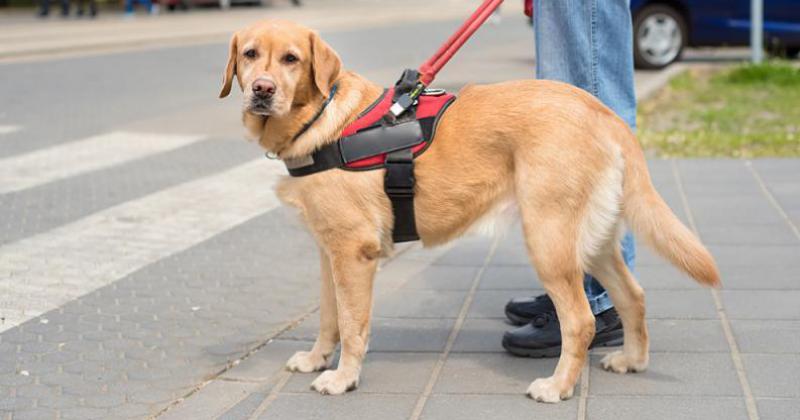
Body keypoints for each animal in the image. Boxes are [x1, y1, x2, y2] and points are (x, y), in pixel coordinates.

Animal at [217, 18, 720, 400]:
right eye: (250, 54)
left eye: (291, 59)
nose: (262, 90)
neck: (319, 118)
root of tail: (601, 110)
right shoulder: (329, 253)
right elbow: (329, 318)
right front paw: (316, 358)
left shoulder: (353, 254)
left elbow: (353, 325)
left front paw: (343, 377)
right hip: (592, 242)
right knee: (633, 296)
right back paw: (632, 360)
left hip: (548, 239)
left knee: (579, 321)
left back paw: (557, 386)